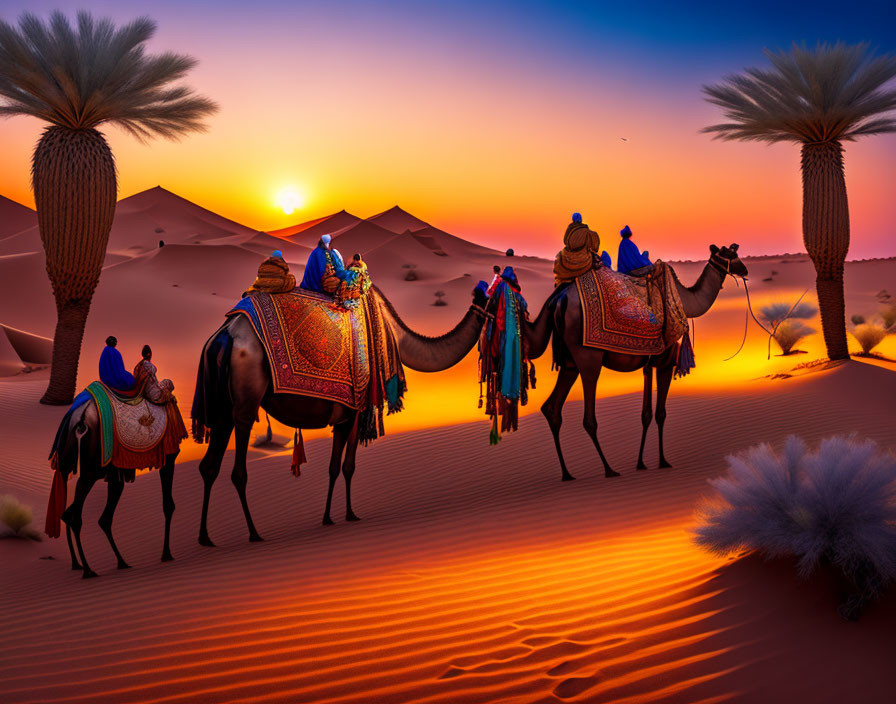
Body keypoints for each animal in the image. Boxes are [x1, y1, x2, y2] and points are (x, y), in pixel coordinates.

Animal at [191, 284, 490, 544]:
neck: (390, 333)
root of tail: (224, 336)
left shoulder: (342, 416)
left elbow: (333, 467)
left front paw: (328, 517)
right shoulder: (356, 411)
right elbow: (348, 466)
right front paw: (349, 514)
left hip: (221, 408)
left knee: (209, 466)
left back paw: (205, 537)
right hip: (246, 396)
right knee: (238, 470)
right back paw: (254, 533)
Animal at [524, 245, 748, 482]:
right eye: (731, 254)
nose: (744, 269)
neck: (685, 302)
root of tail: (558, 300)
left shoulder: (649, 364)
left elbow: (646, 414)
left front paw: (641, 463)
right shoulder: (666, 362)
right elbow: (660, 413)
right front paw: (663, 461)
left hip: (569, 363)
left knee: (552, 408)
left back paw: (567, 473)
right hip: (588, 358)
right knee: (588, 417)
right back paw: (609, 469)